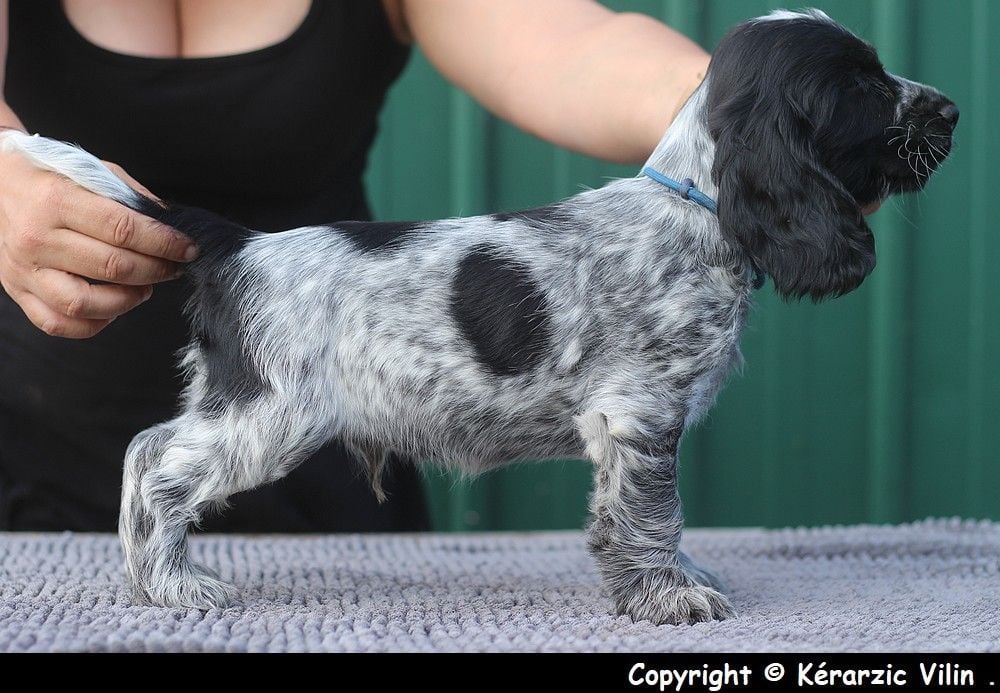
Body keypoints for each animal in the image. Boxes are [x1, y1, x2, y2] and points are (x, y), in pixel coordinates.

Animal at [0, 9, 956, 628]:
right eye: (864, 85)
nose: (949, 109)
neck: (692, 209)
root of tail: (239, 241)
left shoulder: (635, 425)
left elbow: (640, 515)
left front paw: (668, 580)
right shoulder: (640, 413)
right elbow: (652, 512)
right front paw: (667, 596)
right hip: (271, 412)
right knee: (152, 461)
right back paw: (170, 587)